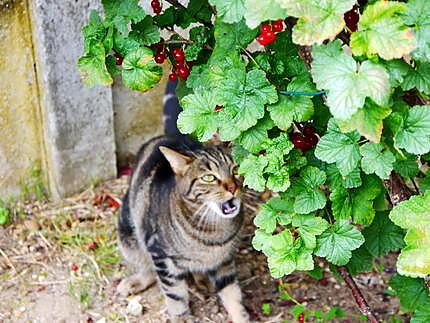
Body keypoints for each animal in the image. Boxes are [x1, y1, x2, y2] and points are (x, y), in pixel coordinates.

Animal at [117, 137, 249, 323]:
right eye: (209, 177)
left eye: (235, 169)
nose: (232, 188)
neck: (213, 232)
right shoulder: (162, 258)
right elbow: (176, 297)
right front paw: (181, 317)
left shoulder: (225, 262)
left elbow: (233, 296)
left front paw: (241, 317)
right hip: (129, 235)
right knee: (147, 266)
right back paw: (135, 281)